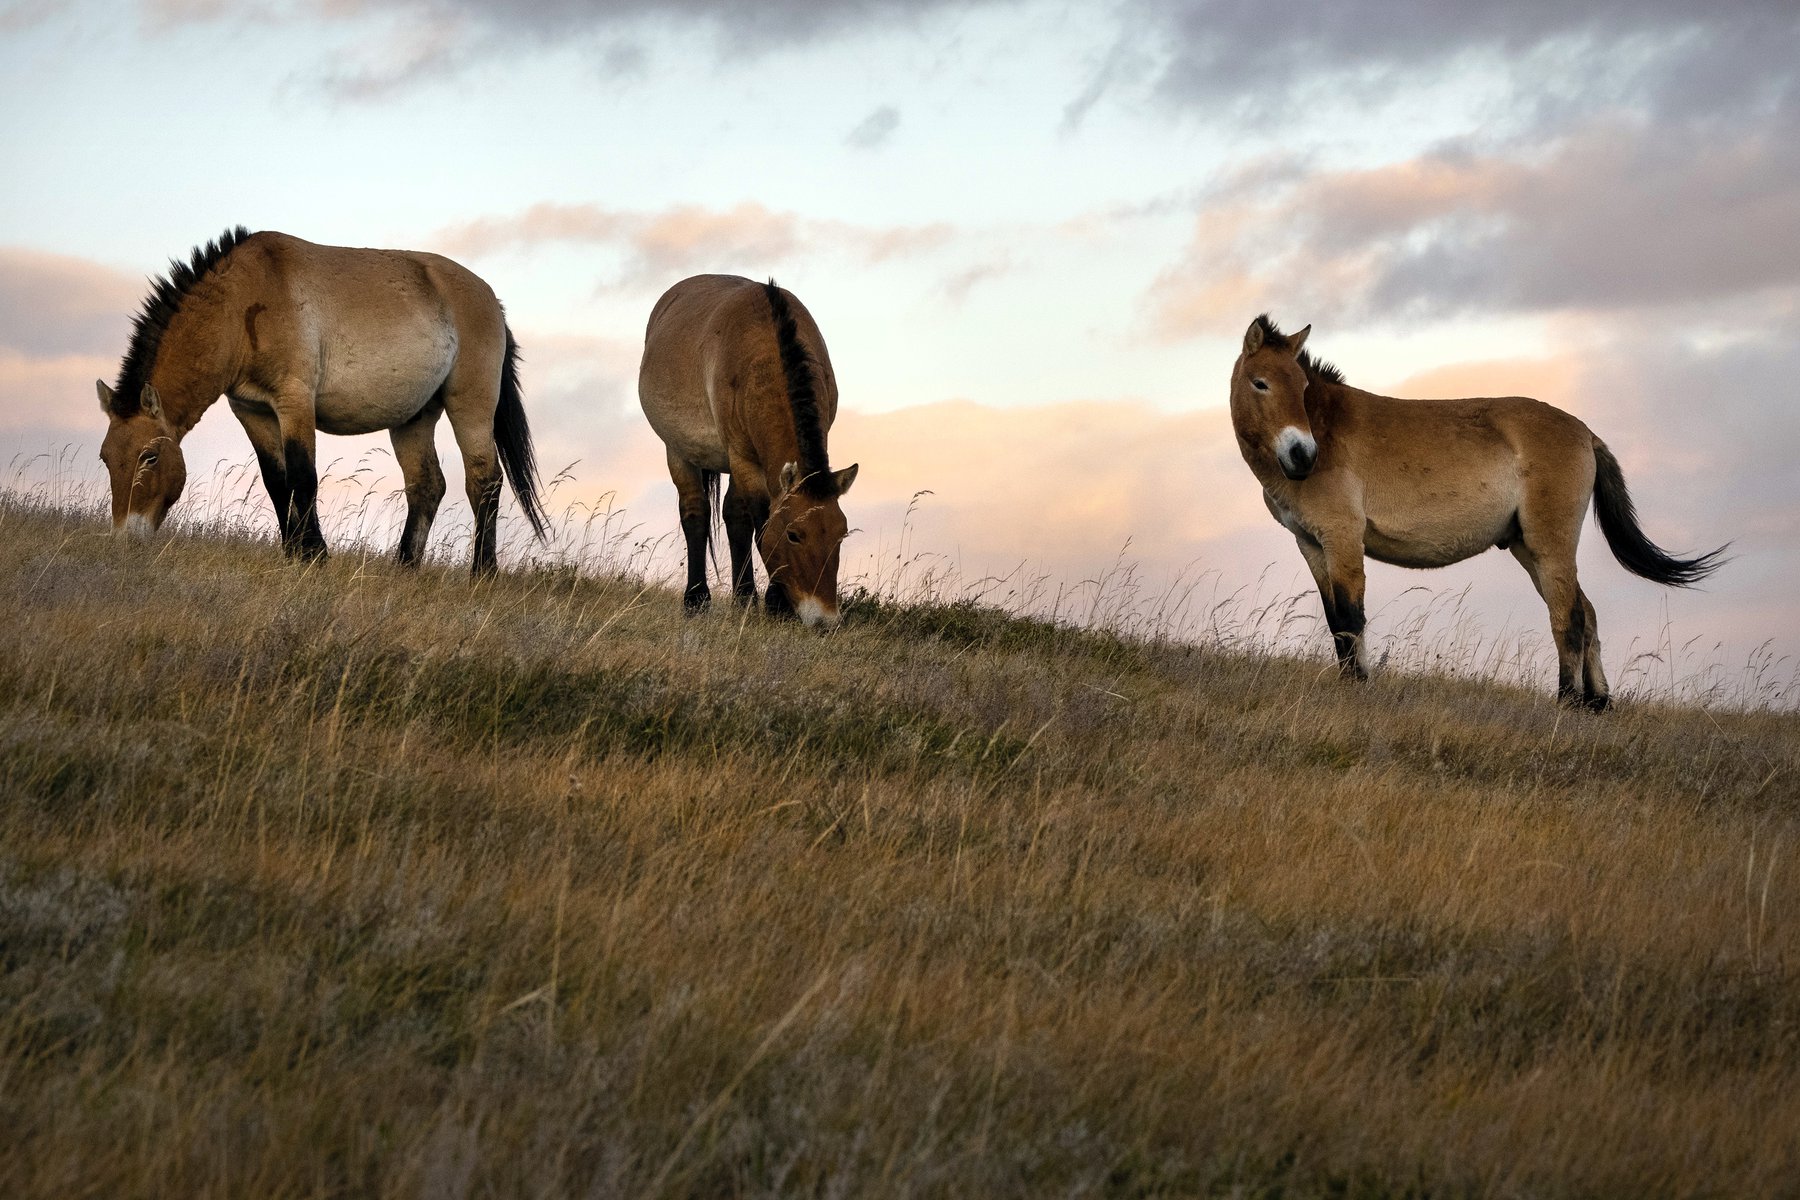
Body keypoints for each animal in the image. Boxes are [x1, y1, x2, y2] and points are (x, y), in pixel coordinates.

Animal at [94, 232, 543, 579]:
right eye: (106, 458)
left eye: (150, 457)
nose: (125, 539)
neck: (244, 303)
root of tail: (492, 301)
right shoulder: (253, 412)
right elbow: (277, 483)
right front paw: (292, 552)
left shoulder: (295, 402)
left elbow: (303, 477)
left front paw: (315, 556)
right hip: (413, 418)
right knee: (427, 485)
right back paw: (404, 567)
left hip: (471, 406)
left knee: (484, 480)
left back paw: (482, 573)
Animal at [640, 271, 864, 629]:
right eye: (793, 535)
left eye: (840, 535)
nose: (825, 620)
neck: (767, 352)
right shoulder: (743, 458)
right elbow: (761, 523)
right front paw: (776, 603)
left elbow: (744, 520)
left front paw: (759, 601)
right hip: (679, 451)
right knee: (696, 513)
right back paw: (697, 599)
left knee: (733, 515)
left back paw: (741, 598)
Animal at [1231, 314, 1720, 708]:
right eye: (1261, 383)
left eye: (1302, 387)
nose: (1302, 455)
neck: (1327, 430)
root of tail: (1586, 433)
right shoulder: (1313, 545)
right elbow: (1336, 621)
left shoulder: (1344, 539)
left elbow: (1352, 618)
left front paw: (1360, 688)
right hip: (1528, 549)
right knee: (1587, 612)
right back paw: (1598, 703)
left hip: (1550, 545)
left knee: (1569, 617)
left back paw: (1567, 702)